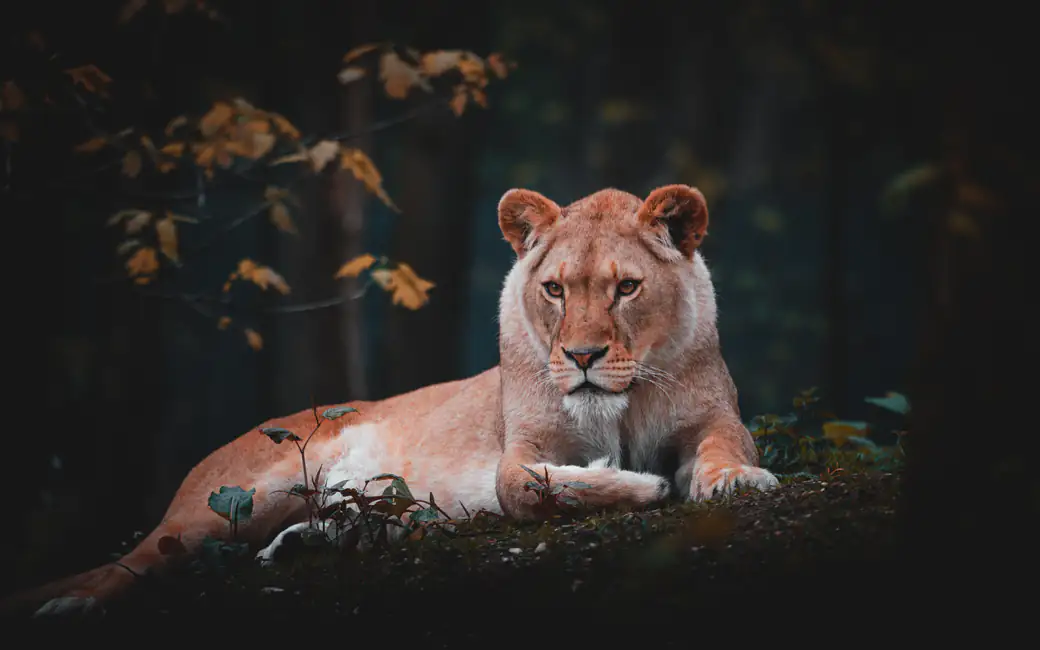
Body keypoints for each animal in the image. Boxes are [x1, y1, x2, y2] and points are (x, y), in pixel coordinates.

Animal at [6, 184, 777, 618]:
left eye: (627, 288)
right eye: (555, 289)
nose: (582, 358)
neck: (623, 401)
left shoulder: (713, 418)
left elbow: (723, 449)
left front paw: (735, 480)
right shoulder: (521, 449)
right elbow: (532, 487)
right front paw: (638, 483)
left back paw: (312, 544)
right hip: (235, 498)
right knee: (134, 561)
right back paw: (69, 604)